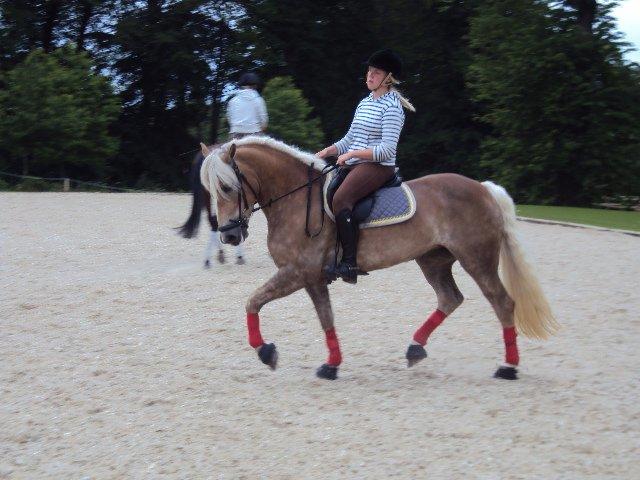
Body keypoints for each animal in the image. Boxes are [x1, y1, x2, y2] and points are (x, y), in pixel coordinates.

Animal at [199, 137, 556, 380]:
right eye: (212, 191)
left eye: (227, 187)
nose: (229, 235)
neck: (297, 199)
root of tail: (483, 189)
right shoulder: (312, 277)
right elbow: (324, 318)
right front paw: (331, 365)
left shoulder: (298, 272)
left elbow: (253, 301)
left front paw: (266, 351)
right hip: (433, 260)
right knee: (450, 298)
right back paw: (415, 348)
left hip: (476, 259)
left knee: (502, 302)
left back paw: (508, 366)